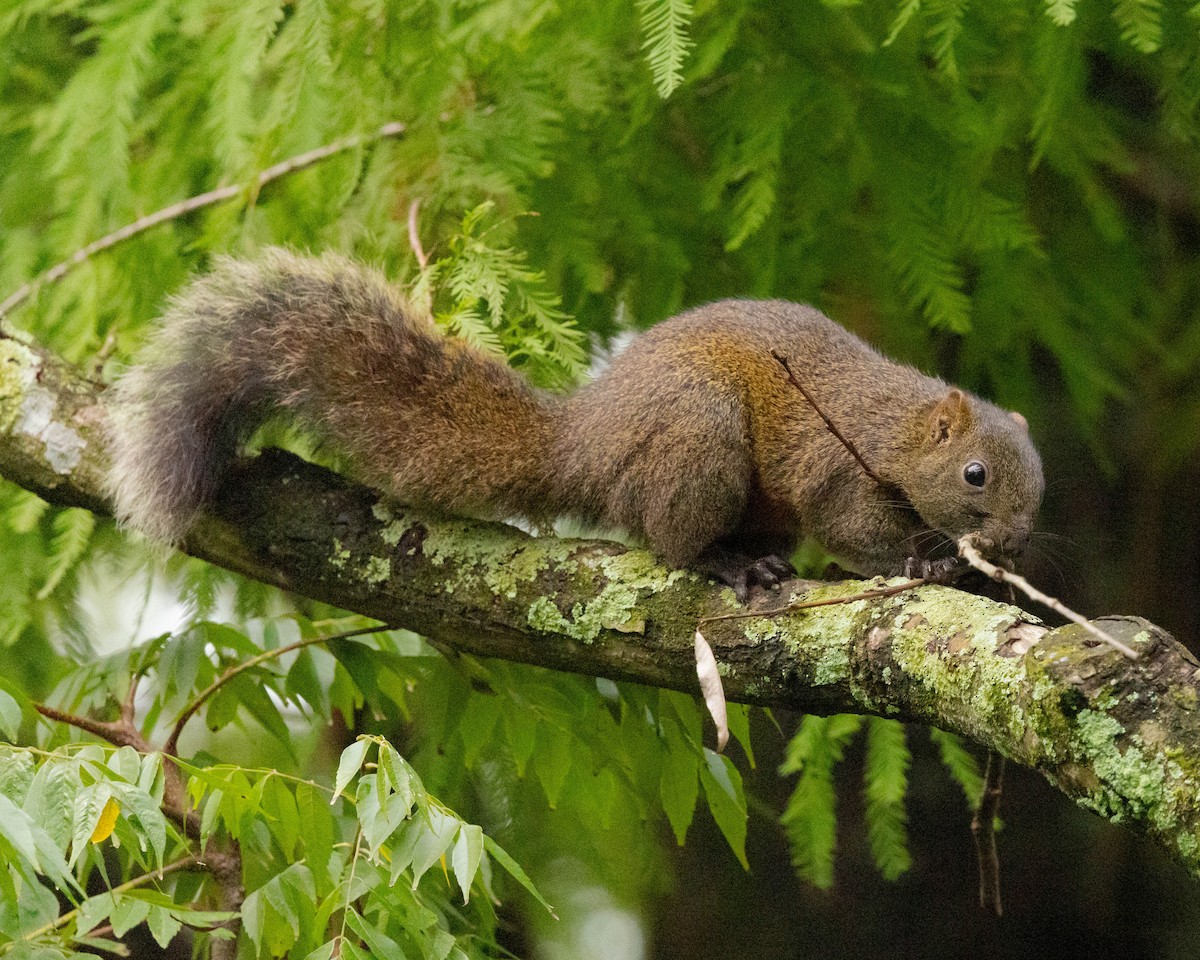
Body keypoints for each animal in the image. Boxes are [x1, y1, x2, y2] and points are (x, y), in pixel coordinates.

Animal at [105, 248, 1044, 598]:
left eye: (1040, 486)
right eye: (975, 475)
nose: (1012, 544)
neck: (897, 423)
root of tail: (583, 443)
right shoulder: (839, 462)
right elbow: (855, 527)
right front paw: (927, 557)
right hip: (697, 438)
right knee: (670, 540)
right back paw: (728, 564)